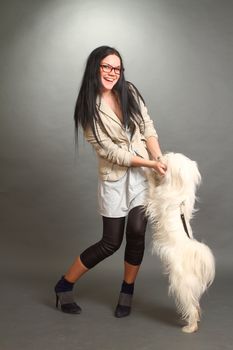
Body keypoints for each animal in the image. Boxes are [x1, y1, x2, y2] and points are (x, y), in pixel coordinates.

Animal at [146, 153, 215, 334]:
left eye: (166, 158)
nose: (158, 156)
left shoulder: (156, 199)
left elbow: (151, 189)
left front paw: (149, 172)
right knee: (196, 305)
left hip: (180, 286)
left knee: (191, 306)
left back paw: (190, 327)